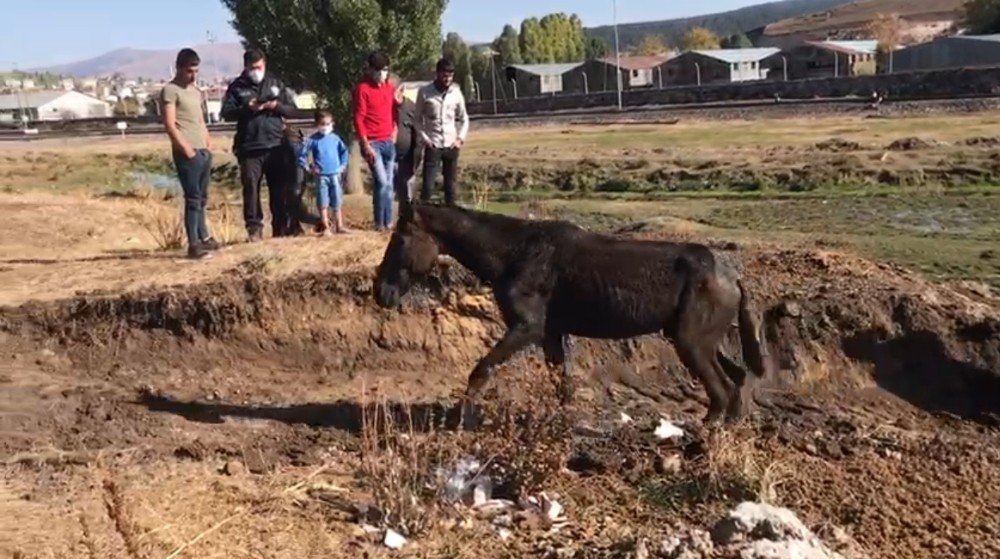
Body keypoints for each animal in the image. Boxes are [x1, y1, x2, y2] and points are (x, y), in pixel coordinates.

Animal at [376, 203, 772, 422]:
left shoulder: (527, 327)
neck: (513, 252)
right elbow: (560, 381)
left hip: (691, 343)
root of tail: (733, 278)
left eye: (399, 239)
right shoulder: (552, 333)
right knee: (737, 380)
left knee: (722, 390)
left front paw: (463, 417)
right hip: (703, 340)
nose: (381, 292)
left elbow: (481, 369)